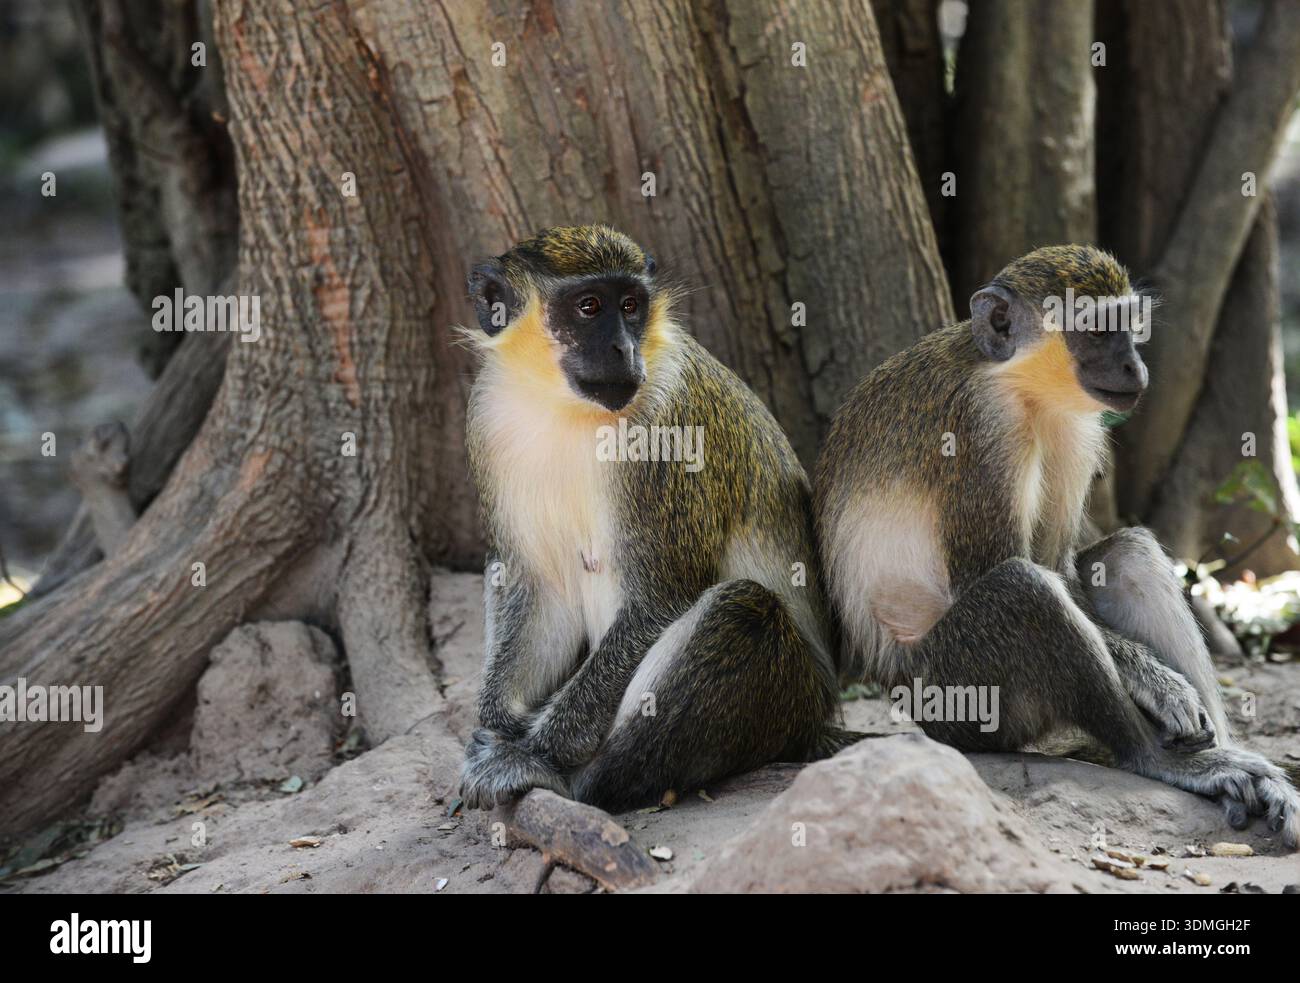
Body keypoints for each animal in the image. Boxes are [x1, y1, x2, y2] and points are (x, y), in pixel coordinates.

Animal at [456, 225, 854, 812]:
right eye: (589, 306)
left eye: (630, 306)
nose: (623, 348)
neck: (565, 407)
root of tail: (816, 717)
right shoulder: (487, 414)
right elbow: (537, 584)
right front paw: (496, 726)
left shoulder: (667, 426)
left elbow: (657, 600)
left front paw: (530, 752)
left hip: (788, 700)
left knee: (742, 611)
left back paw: (586, 780)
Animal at [814, 244, 1300, 848]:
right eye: (1095, 331)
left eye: (1128, 326)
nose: (1136, 368)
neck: (1018, 384)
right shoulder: (980, 425)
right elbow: (996, 567)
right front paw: (1157, 683)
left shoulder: (1078, 427)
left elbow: (1064, 565)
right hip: (957, 696)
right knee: (1024, 591)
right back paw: (1155, 757)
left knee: (1127, 555)